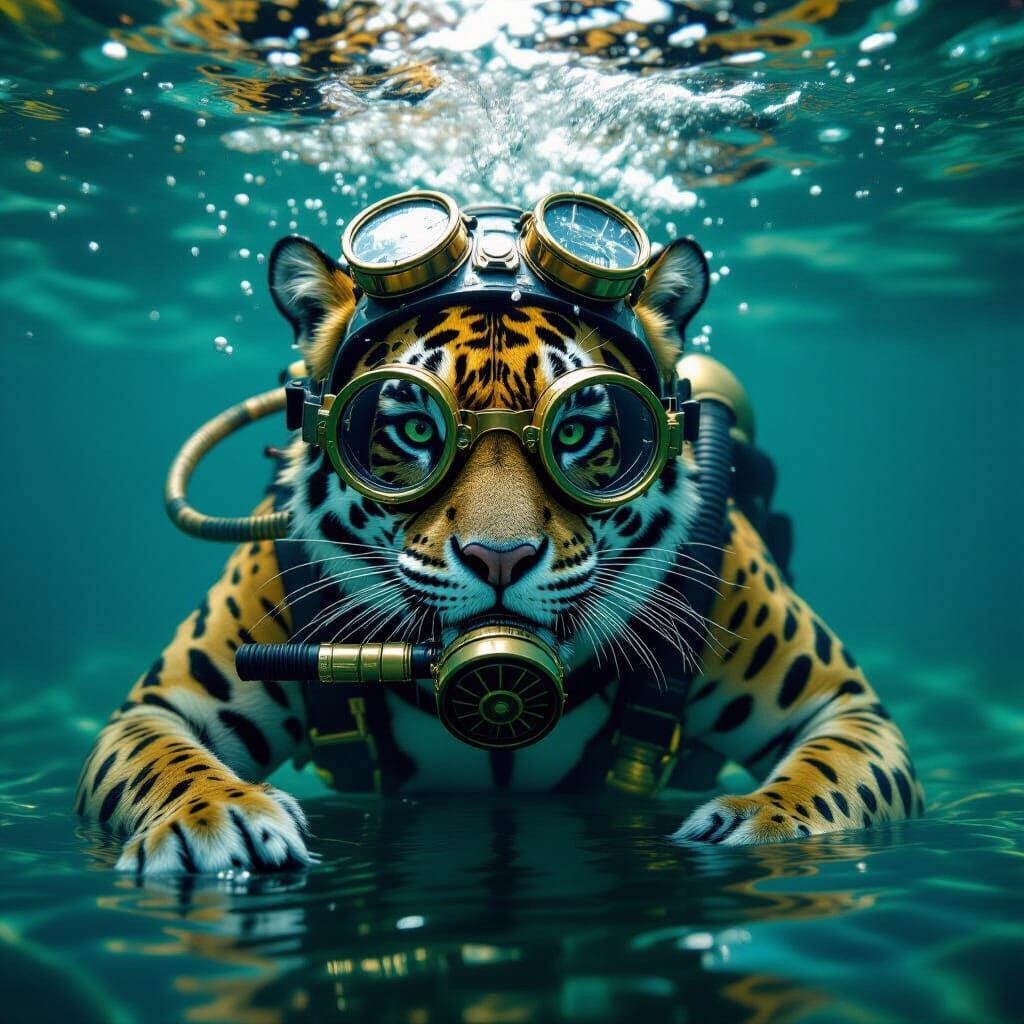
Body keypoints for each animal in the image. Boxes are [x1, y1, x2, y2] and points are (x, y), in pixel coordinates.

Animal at [76, 234, 924, 873]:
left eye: (577, 429)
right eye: (416, 427)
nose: (500, 558)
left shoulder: (844, 703)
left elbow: (825, 778)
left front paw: (753, 825)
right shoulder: (159, 705)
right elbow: (166, 764)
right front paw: (216, 823)